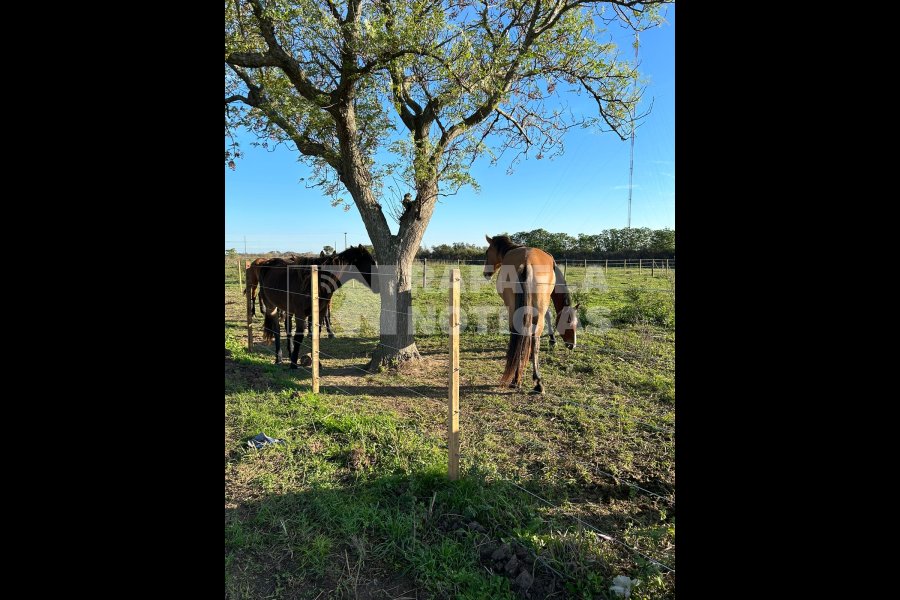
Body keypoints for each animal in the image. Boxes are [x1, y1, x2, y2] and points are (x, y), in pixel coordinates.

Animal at [483, 234, 579, 393]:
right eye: (568, 323)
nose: (573, 345)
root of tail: (526, 262)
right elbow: (549, 315)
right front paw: (552, 340)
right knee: (534, 340)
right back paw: (536, 381)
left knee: (521, 334)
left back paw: (517, 378)